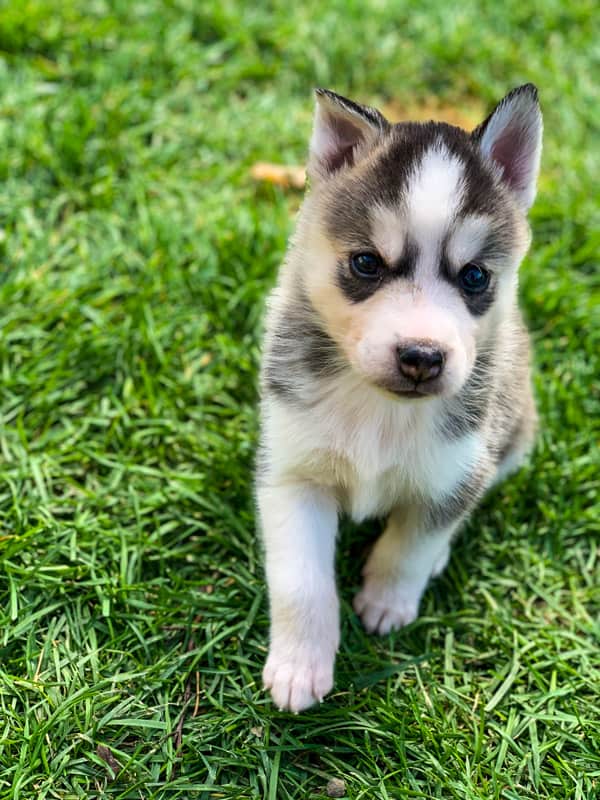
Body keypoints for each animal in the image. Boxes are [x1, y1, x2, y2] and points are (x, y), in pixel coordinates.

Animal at [258, 86, 544, 712]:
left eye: (475, 276)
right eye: (367, 262)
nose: (421, 356)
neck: (381, 410)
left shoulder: (455, 471)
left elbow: (411, 542)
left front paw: (387, 599)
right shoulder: (292, 471)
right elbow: (300, 582)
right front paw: (299, 665)